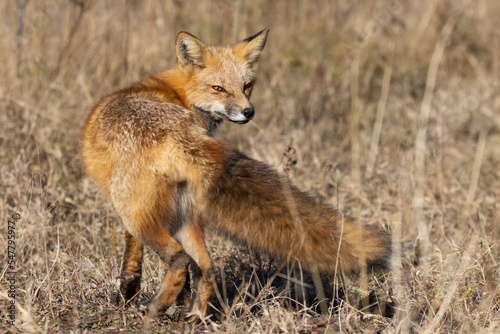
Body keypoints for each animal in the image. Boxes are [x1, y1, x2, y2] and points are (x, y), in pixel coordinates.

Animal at [81, 30, 390, 320]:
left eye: (246, 85)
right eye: (218, 88)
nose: (248, 112)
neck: (178, 95)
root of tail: (180, 133)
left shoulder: (130, 214)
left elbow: (131, 260)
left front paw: (127, 299)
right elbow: (140, 261)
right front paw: (169, 300)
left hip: (138, 216)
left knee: (180, 261)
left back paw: (154, 310)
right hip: (183, 217)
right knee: (206, 268)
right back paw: (194, 317)